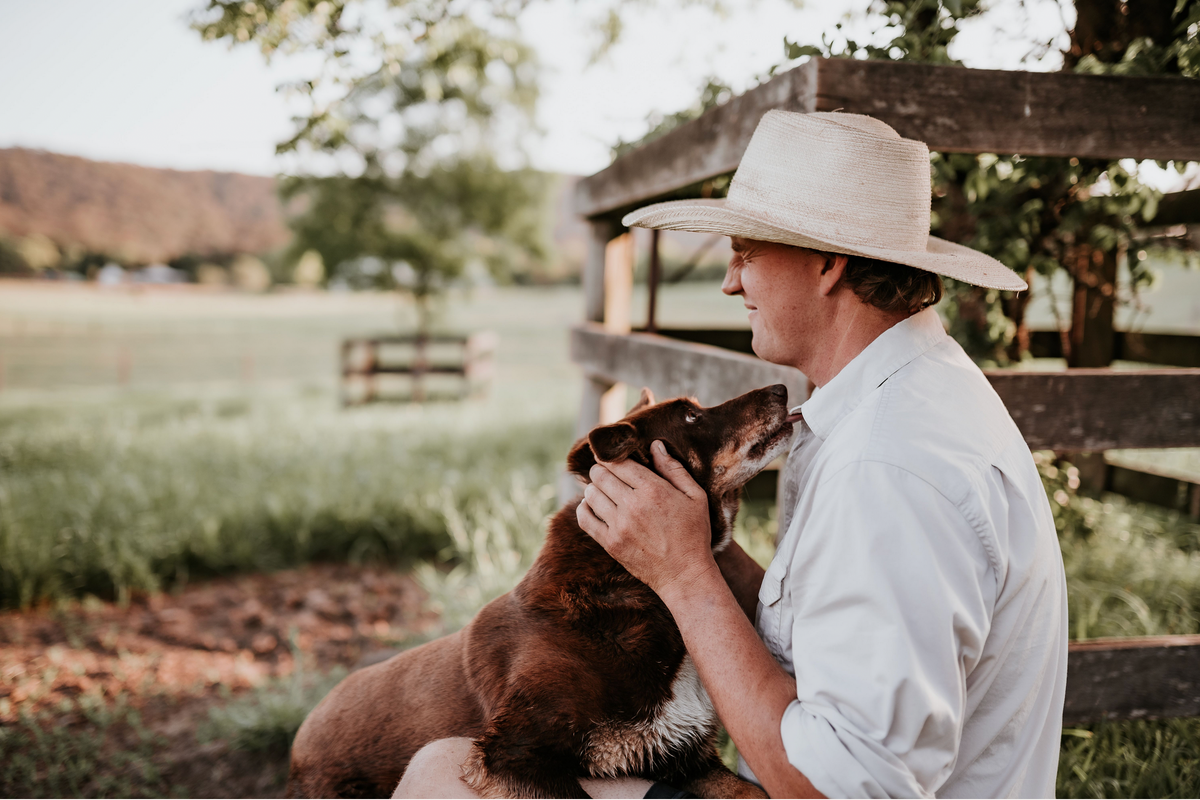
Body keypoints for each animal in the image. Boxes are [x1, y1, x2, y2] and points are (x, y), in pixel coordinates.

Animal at [288, 383, 796, 796]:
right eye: (691, 416)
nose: (782, 388)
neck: (636, 584)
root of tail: (300, 740)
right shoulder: (513, 754)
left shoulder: (686, 760)